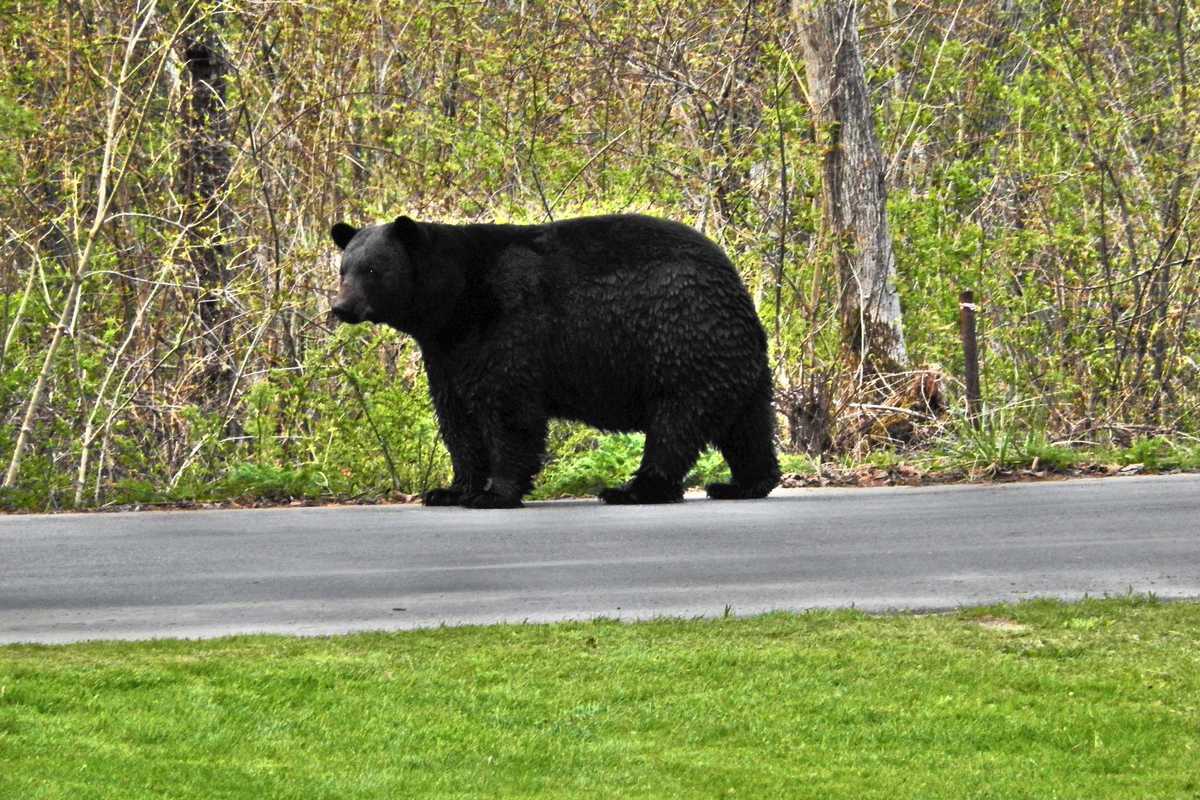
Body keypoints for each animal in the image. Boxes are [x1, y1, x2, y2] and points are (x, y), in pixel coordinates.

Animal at [329, 213, 780, 509]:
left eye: (373, 269)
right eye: (343, 269)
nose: (341, 307)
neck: (455, 305)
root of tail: (735, 287)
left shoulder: (508, 321)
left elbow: (508, 410)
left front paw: (493, 494)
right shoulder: (446, 354)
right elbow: (457, 418)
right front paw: (449, 490)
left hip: (679, 342)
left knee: (675, 425)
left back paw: (633, 490)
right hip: (732, 363)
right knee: (747, 427)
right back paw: (744, 483)